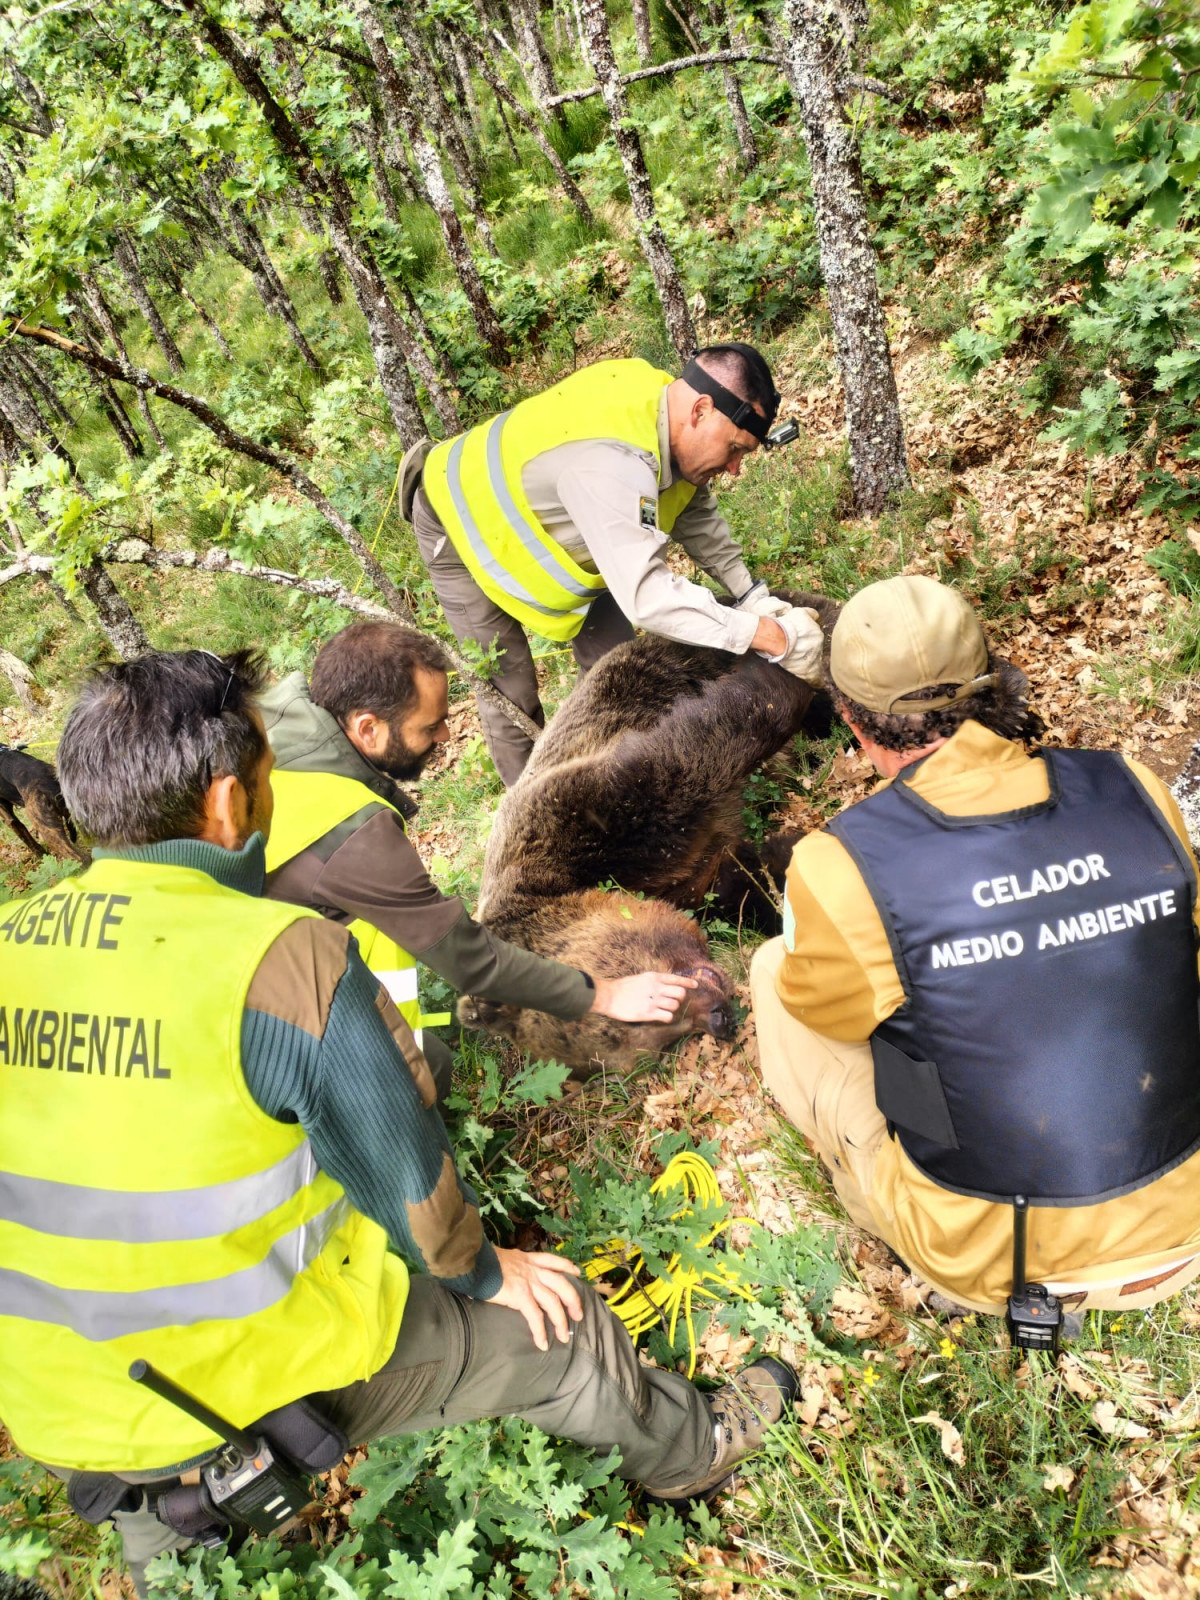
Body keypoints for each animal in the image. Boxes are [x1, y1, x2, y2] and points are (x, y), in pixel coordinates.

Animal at [454, 601, 838, 1075]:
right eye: (650, 1048)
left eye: (637, 1010)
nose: (718, 1017)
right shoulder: (689, 877)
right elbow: (745, 883)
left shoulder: (585, 818)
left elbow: (693, 756)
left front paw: (786, 671)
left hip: (665, 662)